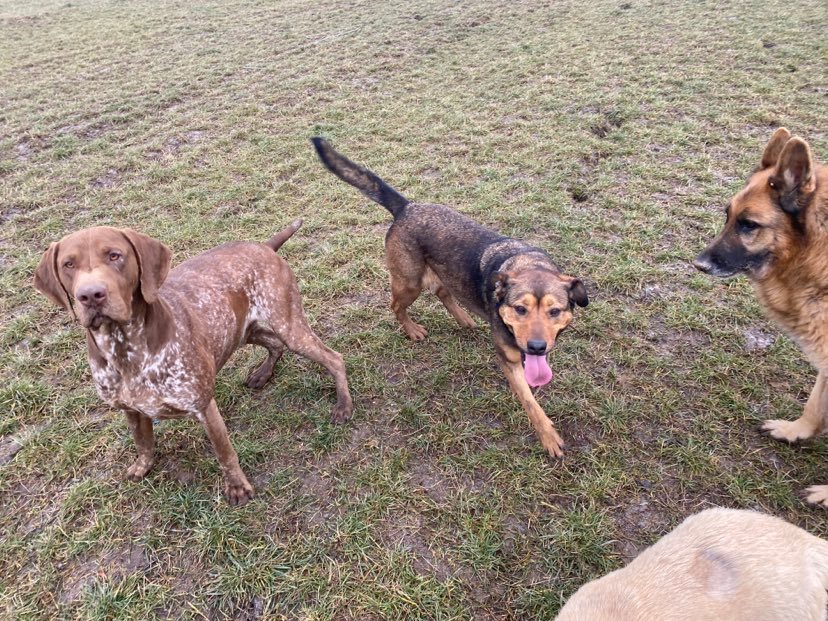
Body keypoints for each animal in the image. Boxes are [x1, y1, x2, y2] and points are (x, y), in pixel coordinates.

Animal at [34, 221, 353, 506]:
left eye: (115, 255)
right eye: (68, 264)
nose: (90, 295)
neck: (126, 350)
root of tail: (264, 246)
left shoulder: (203, 407)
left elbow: (225, 453)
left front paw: (238, 488)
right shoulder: (130, 410)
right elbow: (143, 442)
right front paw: (143, 466)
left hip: (289, 325)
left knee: (333, 358)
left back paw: (343, 405)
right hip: (243, 331)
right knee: (275, 345)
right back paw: (263, 374)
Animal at [312, 138, 588, 458]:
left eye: (555, 311)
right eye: (520, 309)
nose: (536, 347)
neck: (528, 265)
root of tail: (406, 207)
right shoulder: (509, 361)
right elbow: (531, 404)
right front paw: (548, 437)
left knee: (442, 291)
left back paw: (464, 319)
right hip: (409, 283)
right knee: (396, 305)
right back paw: (412, 330)